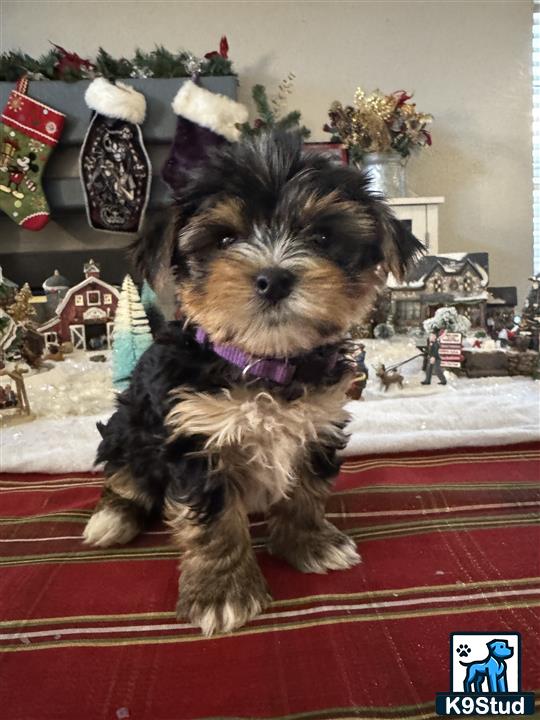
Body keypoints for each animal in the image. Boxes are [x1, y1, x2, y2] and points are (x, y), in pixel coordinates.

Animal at [84, 131, 422, 636]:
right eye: (225, 238)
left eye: (323, 237)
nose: (274, 278)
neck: (262, 364)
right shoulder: (195, 436)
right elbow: (214, 523)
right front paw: (222, 592)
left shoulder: (318, 421)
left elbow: (305, 492)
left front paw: (310, 542)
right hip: (129, 426)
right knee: (126, 475)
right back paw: (112, 518)